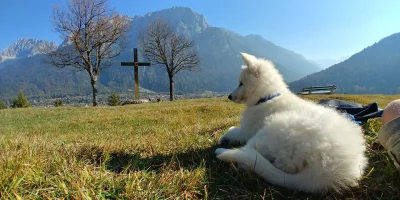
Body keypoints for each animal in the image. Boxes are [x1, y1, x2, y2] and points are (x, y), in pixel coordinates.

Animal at [217, 52, 368, 194]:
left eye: (241, 83)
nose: (229, 96)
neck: (268, 97)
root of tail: (324, 173)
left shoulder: (247, 131)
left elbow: (231, 130)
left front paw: (223, 138)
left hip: (274, 130)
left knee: (251, 153)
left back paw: (226, 153)